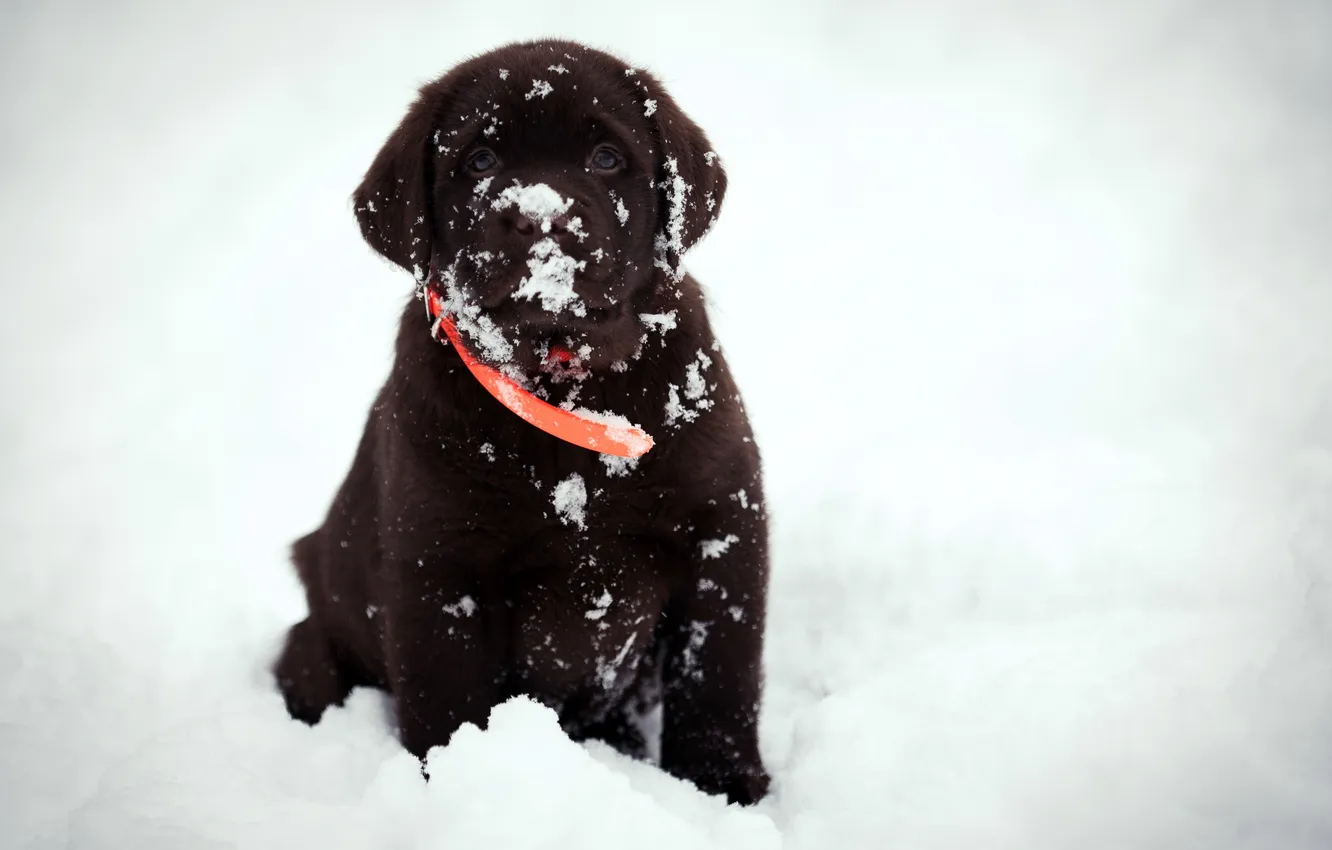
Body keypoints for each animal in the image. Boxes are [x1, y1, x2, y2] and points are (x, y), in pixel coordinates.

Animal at [271, 38, 772, 804]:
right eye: (479, 161)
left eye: (606, 157)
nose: (541, 215)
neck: (565, 388)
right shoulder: (439, 570)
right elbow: (446, 701)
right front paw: (453, 790)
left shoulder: (724, 527)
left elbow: (718, 675)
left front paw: (722, 786)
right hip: (313, 642)